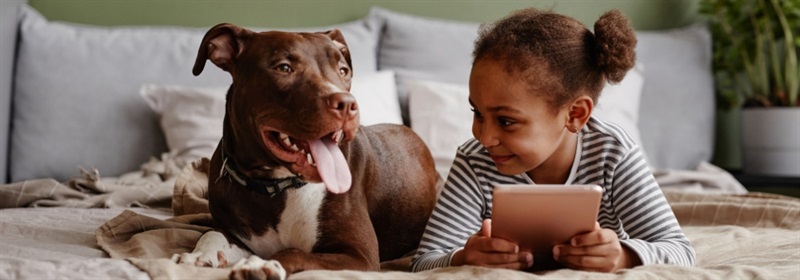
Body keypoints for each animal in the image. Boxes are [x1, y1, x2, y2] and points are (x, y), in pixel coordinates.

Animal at [171, 23, 440, 280]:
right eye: (284, 67)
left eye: (343, 70)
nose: (347, 104)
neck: (273, 187)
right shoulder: (236, 234)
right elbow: (212, 234)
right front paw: (198, 256)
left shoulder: (359, 256)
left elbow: (294, 252)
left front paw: (264, 264)